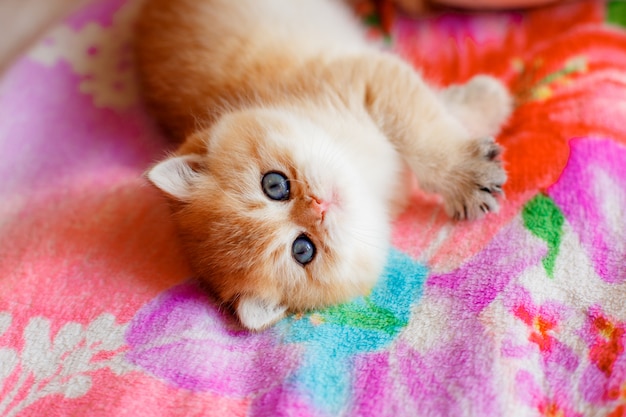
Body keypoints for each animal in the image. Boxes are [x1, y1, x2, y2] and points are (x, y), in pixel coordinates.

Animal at [134, 0, 510, 332]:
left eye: (274, 185)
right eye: (303, 250)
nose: (319, 206)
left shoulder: (370, 78)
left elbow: (425, 131)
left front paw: (481, 114)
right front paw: (488, 113)